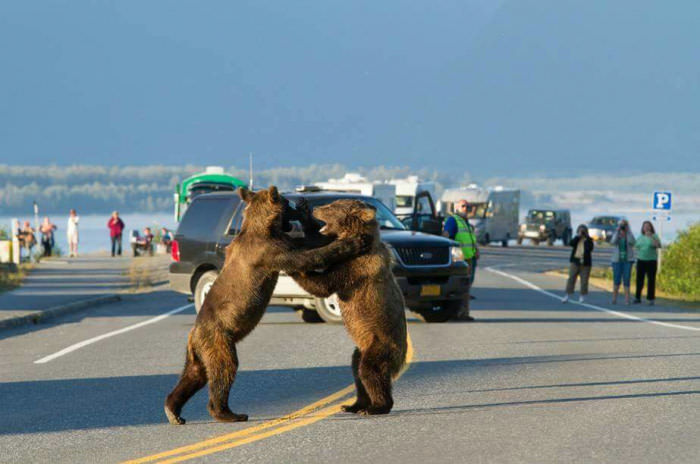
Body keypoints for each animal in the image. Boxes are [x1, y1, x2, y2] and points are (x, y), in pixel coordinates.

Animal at [165, 187, 370, 426]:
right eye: (287, 202)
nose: (296, 206)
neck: (264, 227)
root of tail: (194, 333)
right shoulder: (270, 251)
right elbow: (307, 256)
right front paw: (354, 242)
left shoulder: (282, 240)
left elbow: (311, 241)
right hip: (218, 339)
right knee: (224, 369)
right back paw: (228, 413)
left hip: (199, 352)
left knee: (194, 375)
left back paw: (173, 410)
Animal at [292, 198, 410, 416]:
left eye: (331, 206)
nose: (316, 208)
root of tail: (401, 360)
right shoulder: (343, 254)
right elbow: (320, 243)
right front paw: (303, 210)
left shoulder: (355, 268)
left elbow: (323, 284)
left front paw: (295, 268)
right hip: (362, 348)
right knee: (356, 369)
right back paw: (354, 405)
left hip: (380, 344)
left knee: (370, 371)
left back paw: (377, 406)